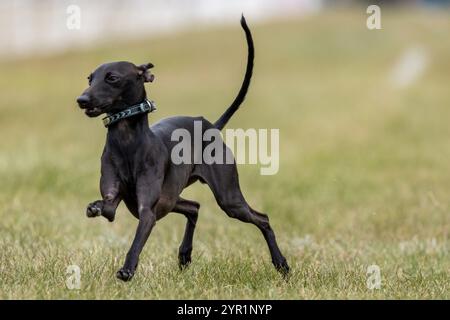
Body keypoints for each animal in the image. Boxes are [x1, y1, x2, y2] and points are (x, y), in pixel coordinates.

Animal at [76, 15, 288, 280]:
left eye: (112, 78)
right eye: (90, 79)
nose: (82, 100)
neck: (127, 141)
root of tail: (210, 126)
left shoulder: (147, 211)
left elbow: (136, 242)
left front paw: (128, 268)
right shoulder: (116, 200)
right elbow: (106, 208)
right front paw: (94, 207)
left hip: (229, 199)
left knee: (263, 218)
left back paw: (281, 264)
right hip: (173, 199)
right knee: (194, 207)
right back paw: (185, 254)